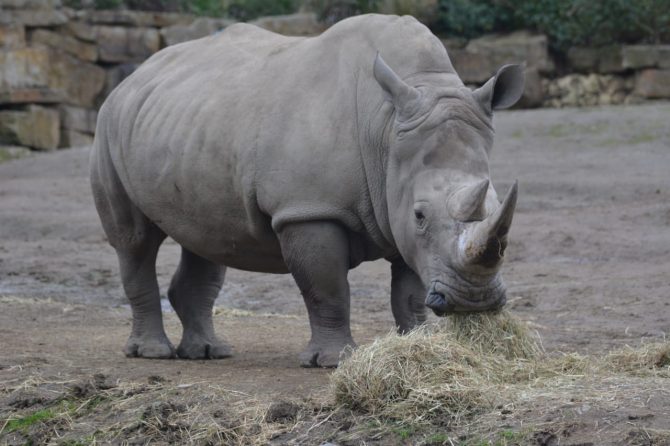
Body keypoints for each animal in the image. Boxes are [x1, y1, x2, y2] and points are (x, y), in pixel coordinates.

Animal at [92, 15, 528, 368]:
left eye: (496, 204)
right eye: (421, 214)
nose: (475, 301)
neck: (386, 132)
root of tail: (134, 75)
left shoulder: (398, 212)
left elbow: (409, 291)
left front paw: (415, 345)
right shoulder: (309, 209)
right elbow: (327, 288)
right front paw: (332, 361)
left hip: (187, 122)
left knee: (205, 239)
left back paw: (209, 353)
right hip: (109, 125)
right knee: (135, 242)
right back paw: (152, 353)